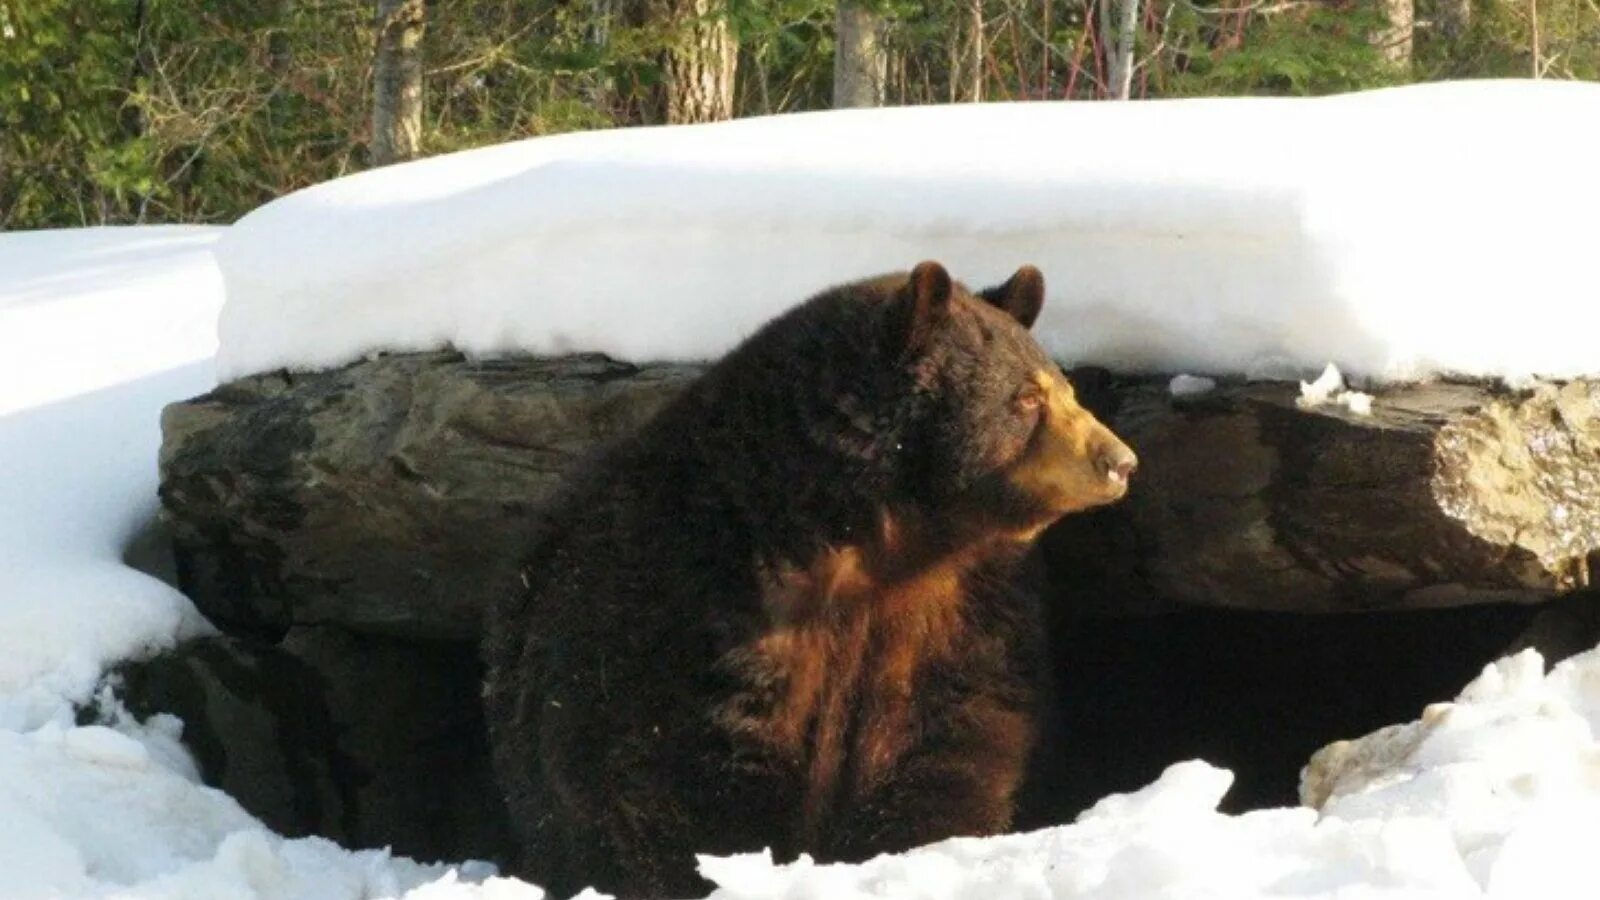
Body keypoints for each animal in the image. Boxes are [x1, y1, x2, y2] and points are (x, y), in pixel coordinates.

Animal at [480, 261, 1132, 896]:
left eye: (1065, 387)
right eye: (1026, 397)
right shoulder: (701, 595)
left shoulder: (962, 608)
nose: (1119, 461)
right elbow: (669, 763)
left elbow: (954, 733)